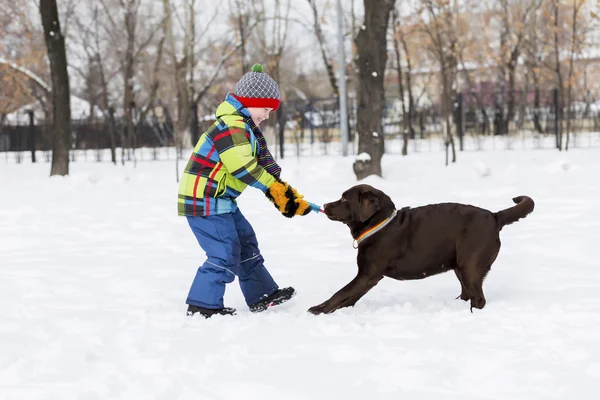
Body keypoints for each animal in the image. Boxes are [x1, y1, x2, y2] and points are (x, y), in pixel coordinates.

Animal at [310, 183, 536, 314]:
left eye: (344, 198)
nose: (326, 205)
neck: (380, 224)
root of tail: (495, 216)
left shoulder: (368, 274)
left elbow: (340, 293)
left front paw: (318, 309)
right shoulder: (368, 277)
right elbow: (350, 296)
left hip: (470, 264)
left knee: (478, 298)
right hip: (459, 266)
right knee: (467, 294)